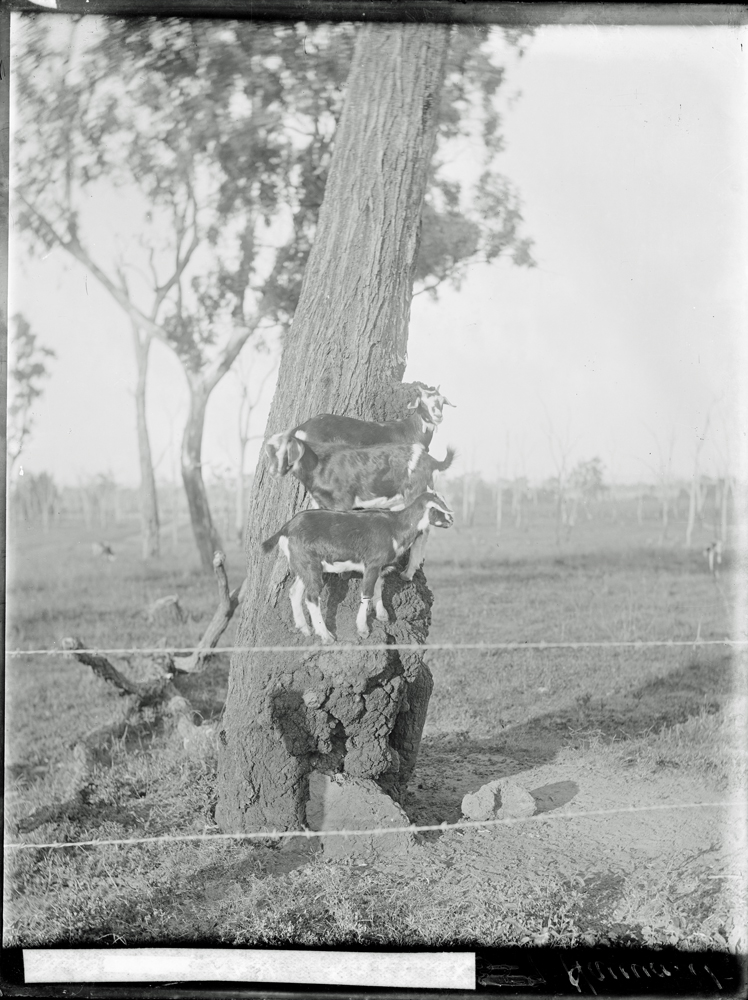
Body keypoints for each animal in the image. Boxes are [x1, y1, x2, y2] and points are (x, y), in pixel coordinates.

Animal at [261, 491, 454, 643]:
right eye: (439, 508)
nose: (451, 520)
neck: (396, 527)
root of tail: (286, 528)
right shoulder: (372, 563)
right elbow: (366, 593)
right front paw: (363, 629)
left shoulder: (379, 566)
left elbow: (378, 587)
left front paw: (382, 614)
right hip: (310, 564)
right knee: (311, 597)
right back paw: (326, 636)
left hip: (304, 566)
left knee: (295, 592)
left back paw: (305, 629)